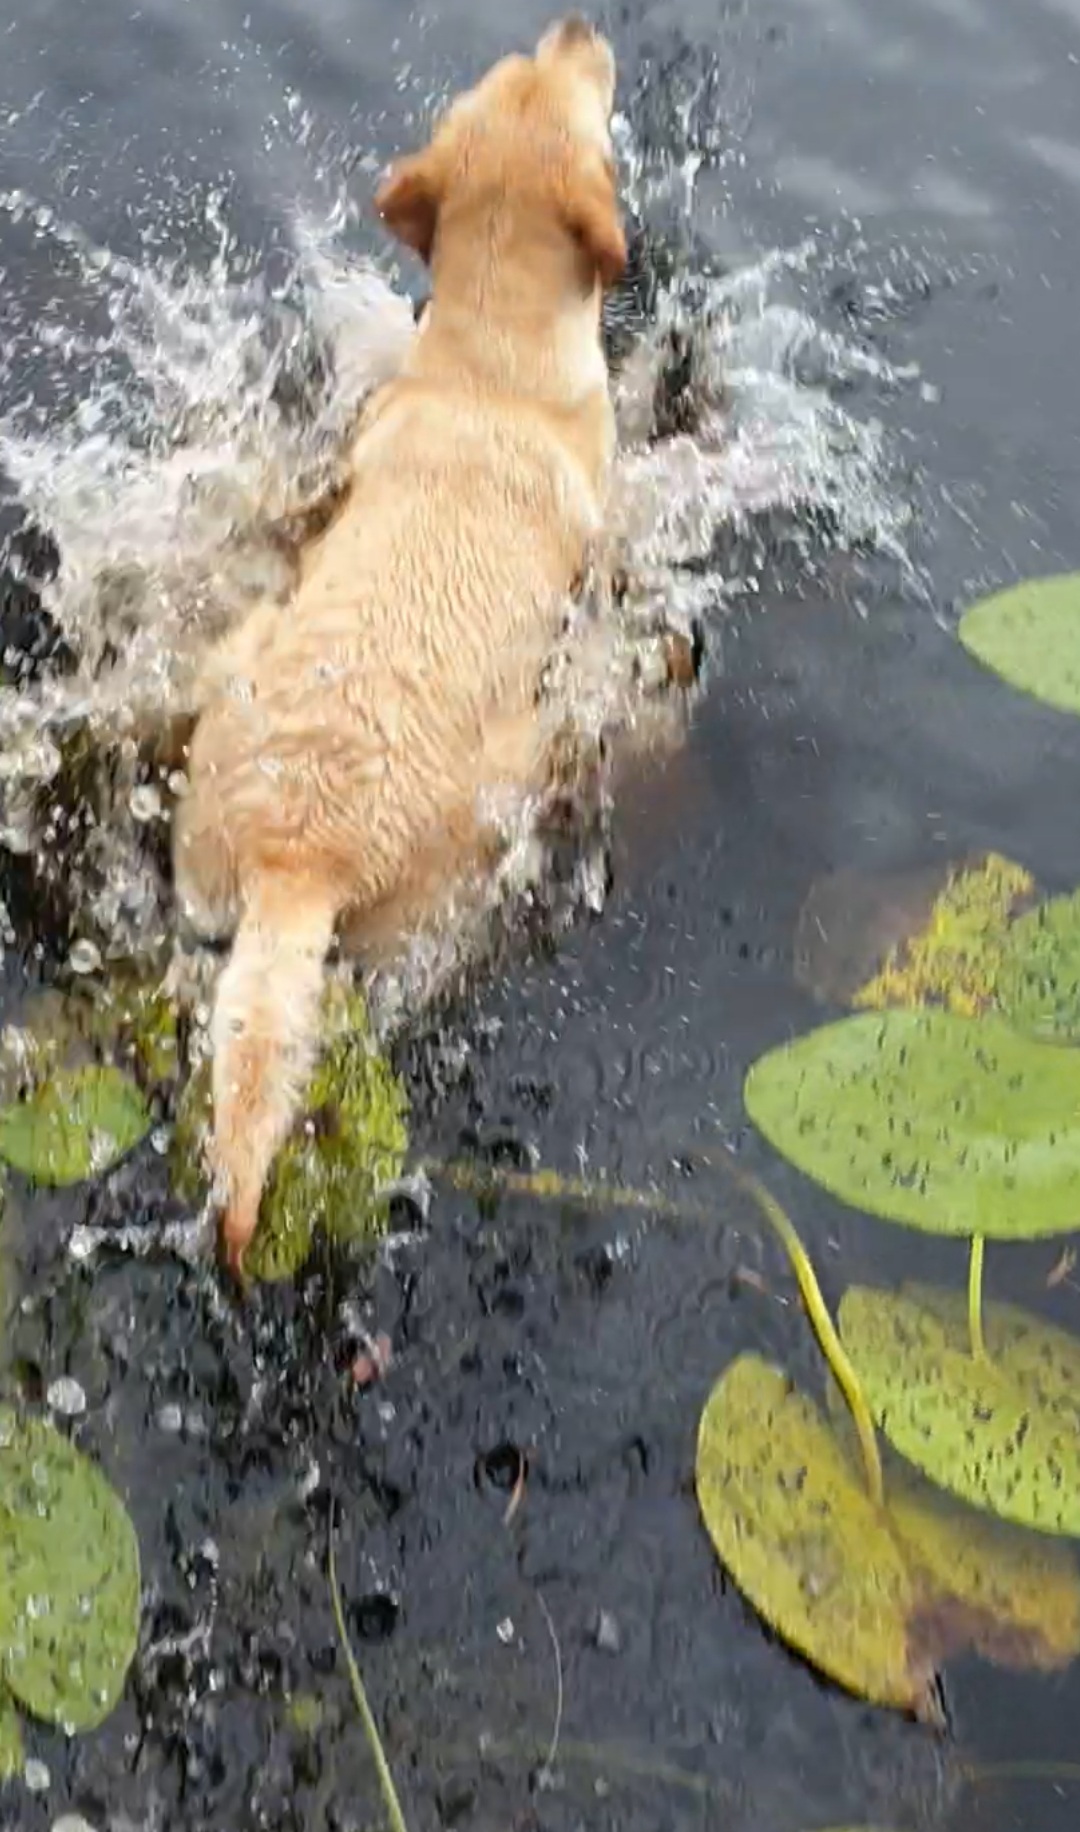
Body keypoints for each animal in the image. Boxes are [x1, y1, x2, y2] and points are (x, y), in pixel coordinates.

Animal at [173, 16, 627, 1274]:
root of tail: (298, 855)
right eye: (572, 85)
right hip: (497, 791)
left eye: (514, 67)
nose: (576, 22)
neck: (491, 359)